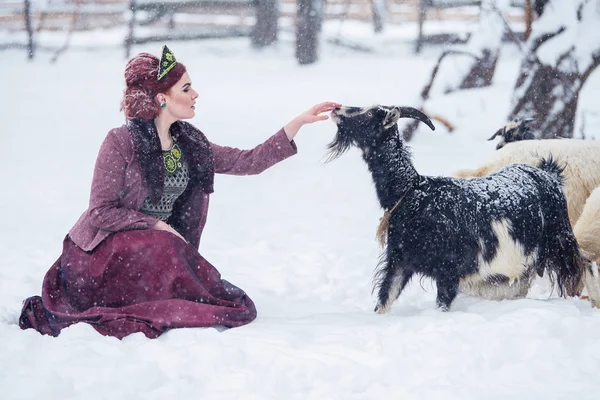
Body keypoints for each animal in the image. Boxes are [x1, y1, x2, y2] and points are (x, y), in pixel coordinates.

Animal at [328, 105, 600, 312]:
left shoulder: (449, 271)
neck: (414, 193)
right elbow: (384, 302)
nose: (336, 109)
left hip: (560, 238)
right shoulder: (399, 262)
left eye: (370, 113)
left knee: (585, 264)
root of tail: (549, 173)